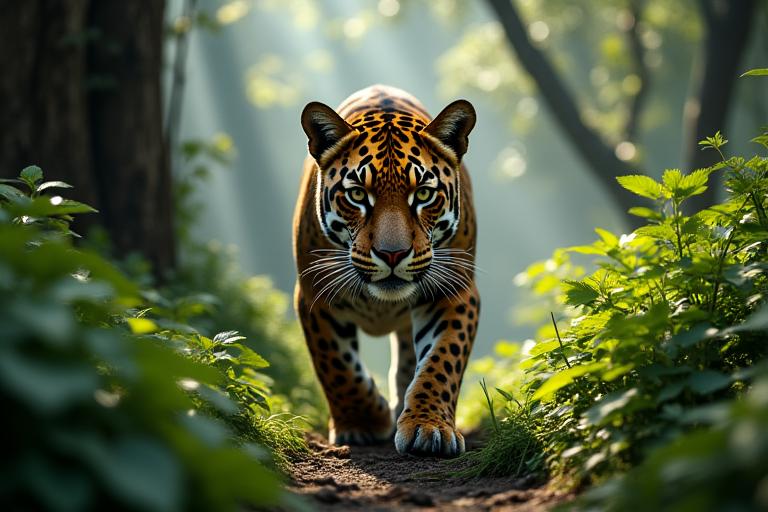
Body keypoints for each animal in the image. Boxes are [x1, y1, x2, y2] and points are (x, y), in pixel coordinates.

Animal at [293, 85, 479, 457]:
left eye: (423, 194)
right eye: (356, 194)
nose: (392, 254)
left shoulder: (456, 290)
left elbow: (442, 362)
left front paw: (428, 426)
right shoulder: (314, 293)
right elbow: (336, 365)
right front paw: (363, 422)